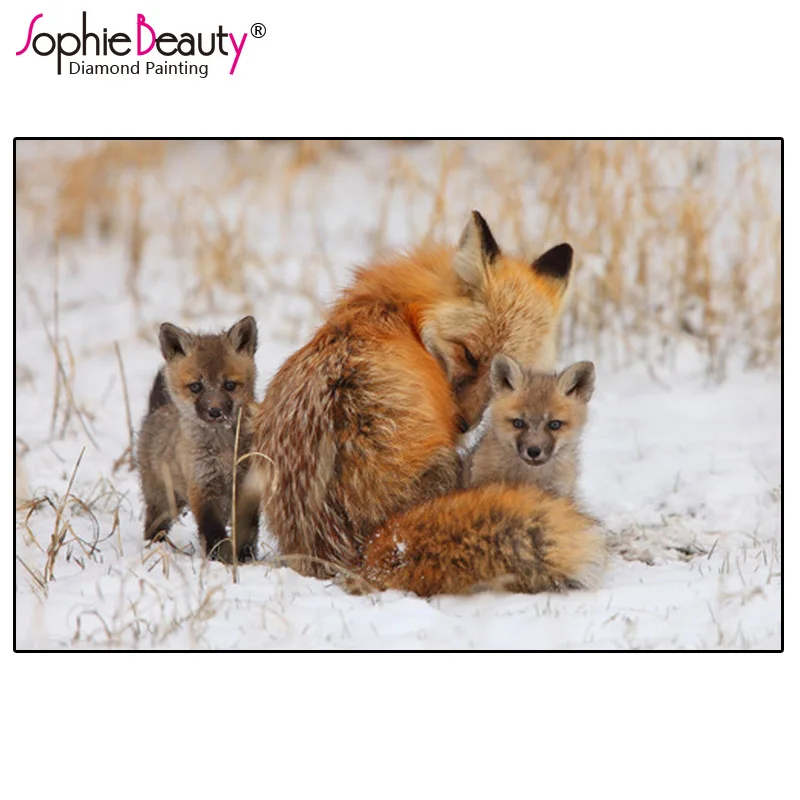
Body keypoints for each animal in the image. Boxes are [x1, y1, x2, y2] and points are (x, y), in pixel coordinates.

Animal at [136, 316, 260, 563]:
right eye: (196, 386)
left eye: (229, 385)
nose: (215, 412)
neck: (224, 451)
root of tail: (156, 411)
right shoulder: (202, 485)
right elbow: (212, 530)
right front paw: (220, 559)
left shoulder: (247, 484)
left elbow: (247, 529)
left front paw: (244, 557)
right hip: (163, 502)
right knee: (153, 527)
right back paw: (155, 549)